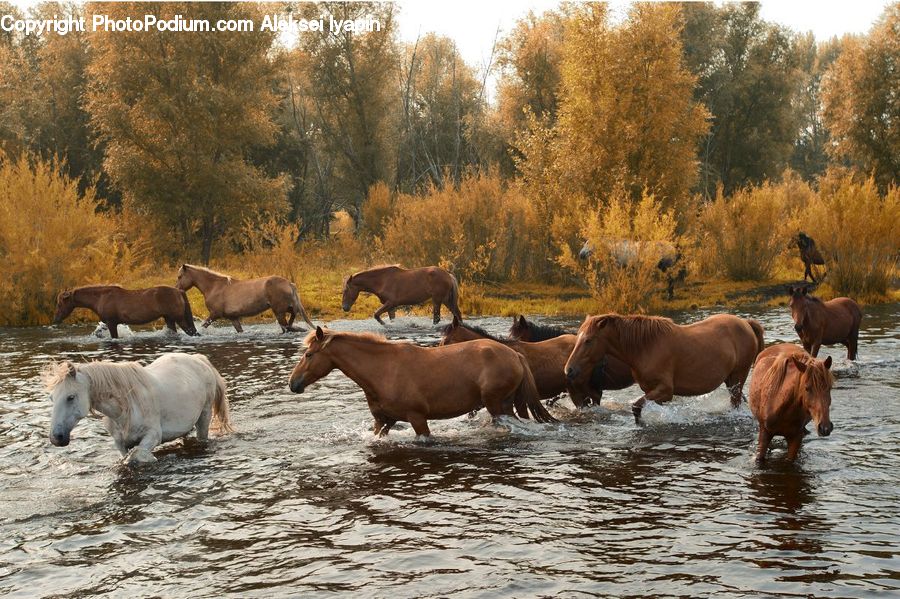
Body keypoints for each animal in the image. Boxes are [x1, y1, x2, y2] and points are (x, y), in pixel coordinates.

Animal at [44, 353, 232, 465]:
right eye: (52, 398)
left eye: (70, 397)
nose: (56, 437)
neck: (124, 410)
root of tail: (199, 359)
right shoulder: (120, 444)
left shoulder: (153, 436)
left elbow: (136, 455)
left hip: (205, 417)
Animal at [52, 285, 198, 338]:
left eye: (60, 303)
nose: (56, 320)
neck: (101, 297)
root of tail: (179, 291)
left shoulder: (111, 322)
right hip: (169, 319)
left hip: (179, 318)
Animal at [175, 264, 313, 333]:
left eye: (179, 276)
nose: (176, 289)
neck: (214, 287)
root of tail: (289, 283)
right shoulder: (233, 318)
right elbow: (240, 330)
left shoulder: (215, 314)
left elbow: (204, 325)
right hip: (286, 308)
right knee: (292, 317)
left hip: (279, 311)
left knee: (287, 327)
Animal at [288, 327, 556, 439]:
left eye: (309, 354)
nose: (293, 383)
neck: (382, 370)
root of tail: (515, 355)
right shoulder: (383, 421)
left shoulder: (417, 418)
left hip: (496, 404)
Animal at [565, 313, 765, 423]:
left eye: (588, 340)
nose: (569, 370)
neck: (646, 347)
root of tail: (746, 323)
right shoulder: (653, 392)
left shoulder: (665, 390)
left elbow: (636, 407)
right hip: (730, 380)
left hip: (738, 377)